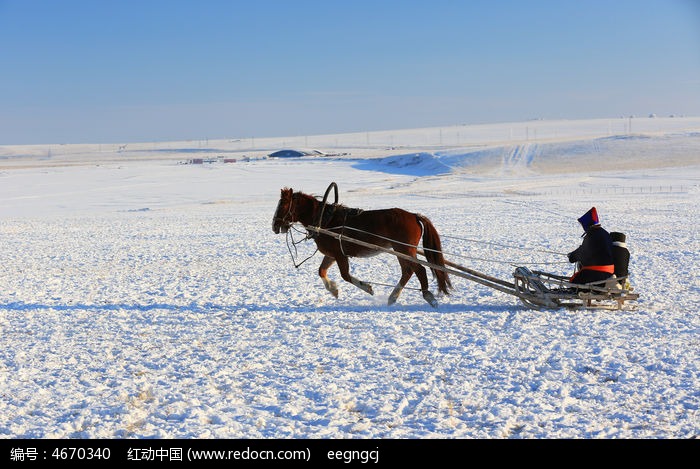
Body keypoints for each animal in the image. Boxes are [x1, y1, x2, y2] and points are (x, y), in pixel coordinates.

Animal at [270, 183, 452, 308]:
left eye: (283, 205)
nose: (274, 226)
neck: (324, 220)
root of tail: (414, 215)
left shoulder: (340, 255)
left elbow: (345, 275)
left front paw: (367, 287)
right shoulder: (332, 254)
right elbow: (321, 271)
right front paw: (333, 289)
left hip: (404, 249)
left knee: (419, 270)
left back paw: (428, 296)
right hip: (400, 250)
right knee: (407, 271)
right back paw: (393, 297)